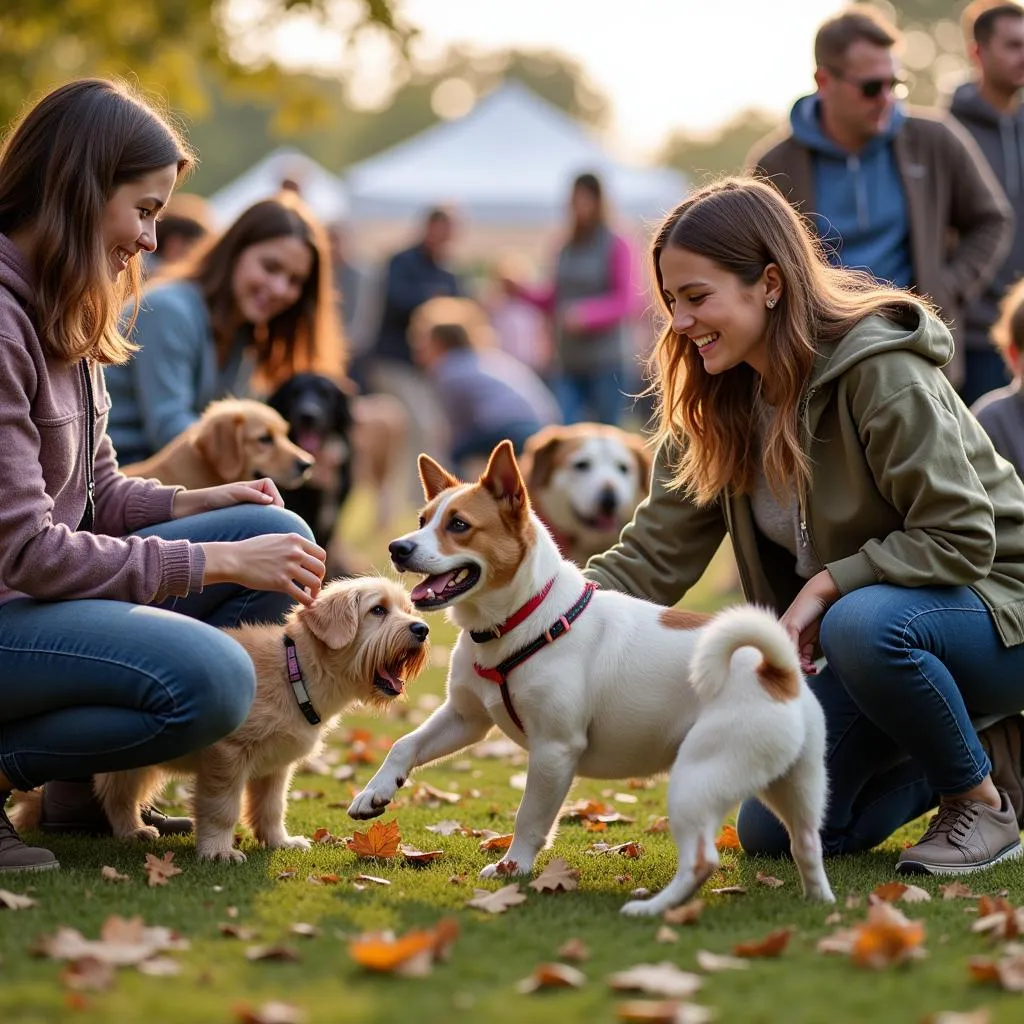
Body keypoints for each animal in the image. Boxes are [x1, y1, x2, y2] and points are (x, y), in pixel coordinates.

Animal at [12, 581, 428, 860]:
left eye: (408, 609)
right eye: (378, 610)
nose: (422, 630)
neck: (294, 671)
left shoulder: (275, 766)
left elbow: (271, 807)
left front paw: (278, 841)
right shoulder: (227, 756)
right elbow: (222, 808)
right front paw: (217, 850)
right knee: (115, 793)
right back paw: (131, 831)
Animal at [350, 440, 831, 913]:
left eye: (459, 524)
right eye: (422, 521)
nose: (397, 548)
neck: (524, 621)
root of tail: (777, 672)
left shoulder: (554, 751)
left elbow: (529, 817)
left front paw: (512, 868)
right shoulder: (466, 719)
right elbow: (404, 745)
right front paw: (376, 791)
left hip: (697, 779)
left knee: (702, 859)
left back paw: (652, 908)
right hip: (794, 787)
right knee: (807, 845)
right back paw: (818, 902)